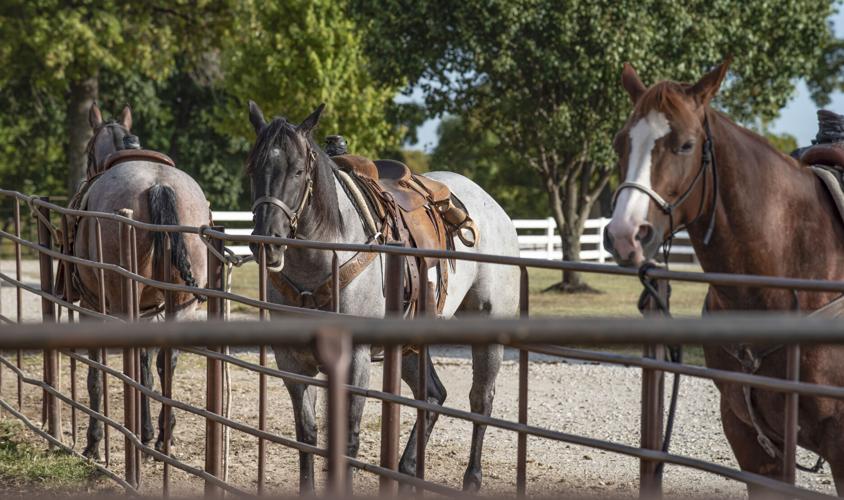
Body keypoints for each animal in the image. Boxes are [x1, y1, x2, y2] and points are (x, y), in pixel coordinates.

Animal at [72, 103, 211, 460]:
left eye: (86, 149)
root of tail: (158, 185)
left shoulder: (93, 307)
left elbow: (97, 374)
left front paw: (94, 442)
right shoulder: (151, 310)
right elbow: (148, 369)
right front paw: (149, 432)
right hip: (179, 305)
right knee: (166, 361)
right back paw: (163, 436)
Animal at [244, 101, 520, 493]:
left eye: (298, 170)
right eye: (254, 168)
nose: (267, 241)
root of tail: (492, 207)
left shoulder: (355, 360)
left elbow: (348, 440)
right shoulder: (292, 363)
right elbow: (307, 435)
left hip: (487, 327)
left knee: (481, 399)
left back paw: (471, 479)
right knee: (432, 394)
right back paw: (406, 469)